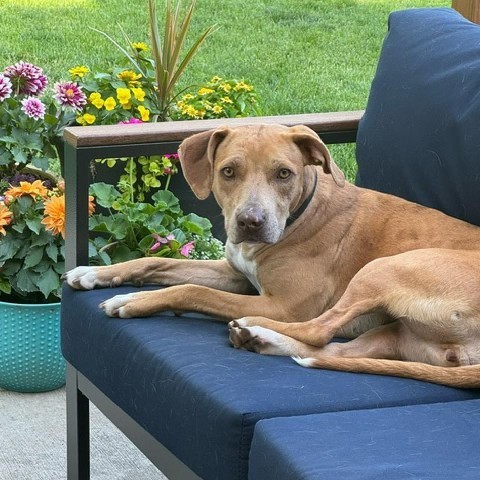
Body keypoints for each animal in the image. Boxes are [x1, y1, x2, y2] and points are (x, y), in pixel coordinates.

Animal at [64, 125, 480, 388]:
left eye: (284, 174)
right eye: (228, 171)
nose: (250, 222)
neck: (301, 214)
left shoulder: (284, 305)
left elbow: (192, 290)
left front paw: (133, 300)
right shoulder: (235, 273)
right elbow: (159, 262)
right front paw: (93, 273)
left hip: (383, 269)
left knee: (318, 330)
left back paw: (252, 325)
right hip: (394, 334)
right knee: (333, 350)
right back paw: (259, 338)